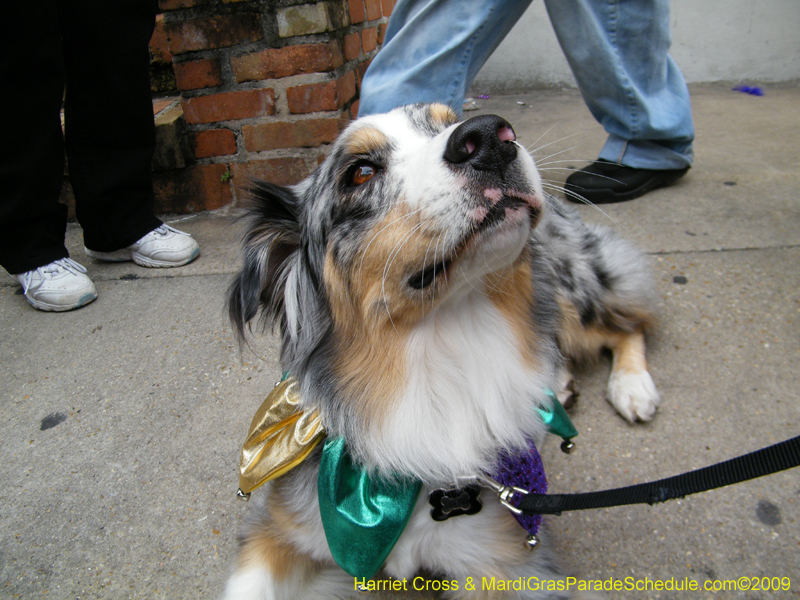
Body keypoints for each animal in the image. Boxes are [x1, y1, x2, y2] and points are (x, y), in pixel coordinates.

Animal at [223, 103, 656, 596]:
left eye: (451, 119)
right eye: (360, 172)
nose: (490, 136)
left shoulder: (509, 559)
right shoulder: (280, 529)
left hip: (571, 287)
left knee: (628, 322)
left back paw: (633, 386)